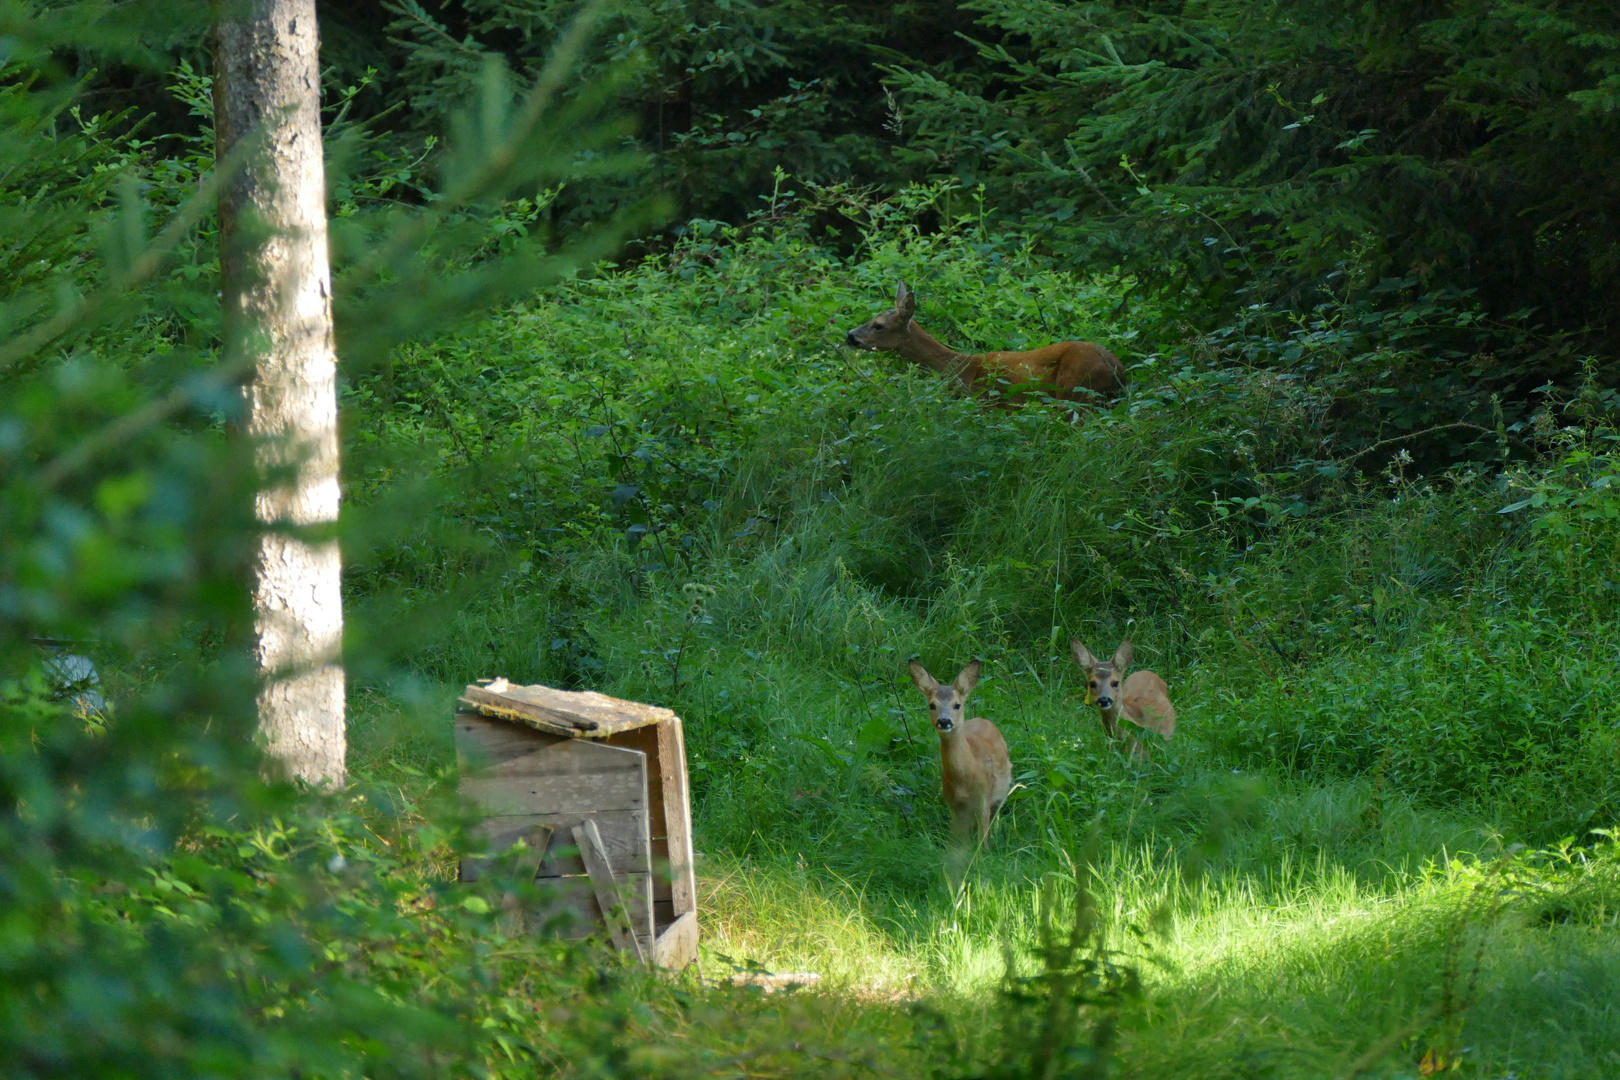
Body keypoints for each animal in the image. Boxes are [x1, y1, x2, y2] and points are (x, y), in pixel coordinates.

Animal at [842, 281, 1121, 408]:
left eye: (878, 325)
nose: (850, 336)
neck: (963, 369)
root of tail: (1118, 371)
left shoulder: (990, 402)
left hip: (1075, 390)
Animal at [913, 660, 1010, 887]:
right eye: (932, 705)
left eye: (957, 705)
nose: (944, 721)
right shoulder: (952, 801)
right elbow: (957, 838)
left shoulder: (983, 796)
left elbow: (983, 833)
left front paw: (983, 855)